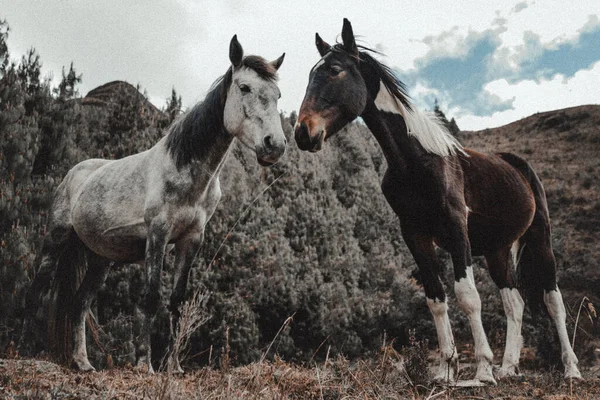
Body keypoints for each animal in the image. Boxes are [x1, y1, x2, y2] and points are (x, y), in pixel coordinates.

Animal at [24, 36, 286, 374]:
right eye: (244, 87)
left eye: (277, 95)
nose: (274, 145)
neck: (185, 171)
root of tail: (73, 174)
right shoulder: (157, 235)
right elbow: (150, 297)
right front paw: (144, 364)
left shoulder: (191, 240)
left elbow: (176, 300)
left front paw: (173, 367)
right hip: (55, 240)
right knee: (37, 290)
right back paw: (23, 350)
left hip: (99, 259)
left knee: (79, 303)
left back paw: (83, 363)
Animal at [296, 18, 580, 384]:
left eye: (334, 70)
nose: (303, 133)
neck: (415, 162)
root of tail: (517, 164)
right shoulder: (415, 235)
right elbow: (436, 298)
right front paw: (446, 370)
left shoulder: (457, 230)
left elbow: (468, 297)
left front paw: (482, 370)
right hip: (498, 249)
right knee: (514, 302)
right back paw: (508, 368)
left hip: (540, 238)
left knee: (552, 300)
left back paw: (570, 369)